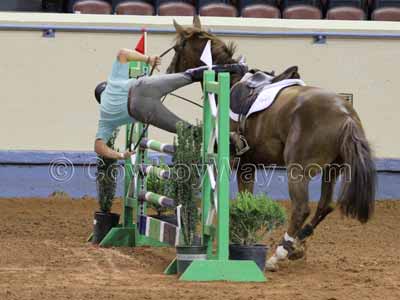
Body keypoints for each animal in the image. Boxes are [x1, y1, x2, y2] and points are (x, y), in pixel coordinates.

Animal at [167, 17, 376, 272]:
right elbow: (244, 200)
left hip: (298, 170)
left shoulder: (235, 162)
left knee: (301, 208)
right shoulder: (248, 165)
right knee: (324, 206)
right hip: (332, 169)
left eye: (177, 48)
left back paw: (279, 254)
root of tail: (345, 113)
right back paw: (297, 245)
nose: (169, 71)